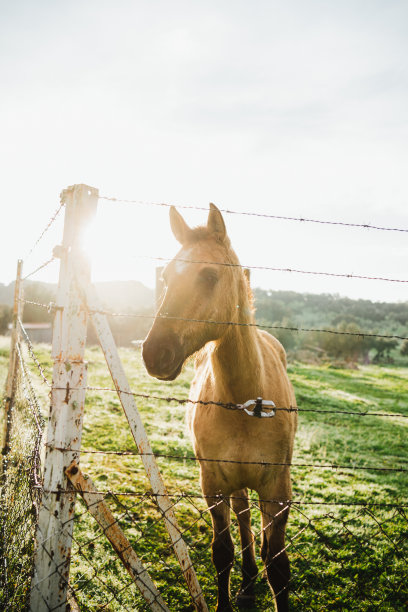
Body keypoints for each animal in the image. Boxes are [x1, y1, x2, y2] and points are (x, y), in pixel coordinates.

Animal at [143, 206, 296, 612]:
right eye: (166, 277)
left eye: (209, 276)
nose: (155, 353)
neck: (246, 404)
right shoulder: (212, 485)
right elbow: (222, 552)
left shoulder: (278, 489)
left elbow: (279, 566)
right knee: (243, 517)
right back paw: (247, 583)